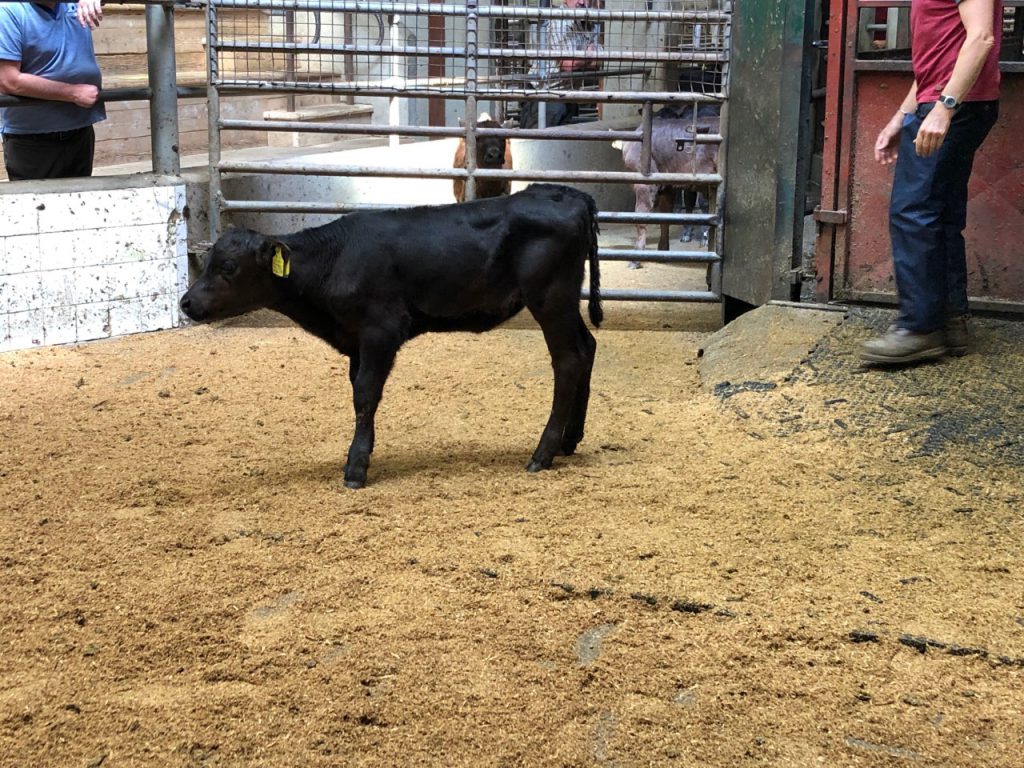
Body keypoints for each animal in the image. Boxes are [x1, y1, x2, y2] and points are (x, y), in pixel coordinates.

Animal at [179, 184, 602, 490]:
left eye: (228, 267)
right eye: (210, 261)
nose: (185, 302)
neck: (335, 260)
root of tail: (568, 193)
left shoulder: (380, 331)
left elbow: (366, 395)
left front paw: (356, 467)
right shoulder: (354, 341)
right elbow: (358, 393)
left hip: (549, 299)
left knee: (568, 361)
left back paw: (543, 453)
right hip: (565, 302)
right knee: (587, 348)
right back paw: (569, 440)